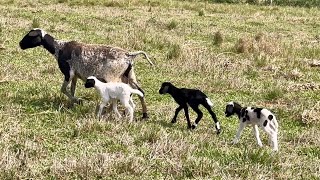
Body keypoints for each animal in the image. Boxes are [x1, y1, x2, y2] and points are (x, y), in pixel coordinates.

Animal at [18, 27, 154, 118]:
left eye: (30, 36)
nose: (20, 44)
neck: (59, 48)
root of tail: (129, 55)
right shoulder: (75, 76)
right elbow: (72, 89)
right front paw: (72, 104)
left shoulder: (68, 73)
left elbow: (63, 89)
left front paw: (78, 101)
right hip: (129, 76)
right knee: (140, 92)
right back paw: (144, 114)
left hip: (113, 77)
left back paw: (109, 112)